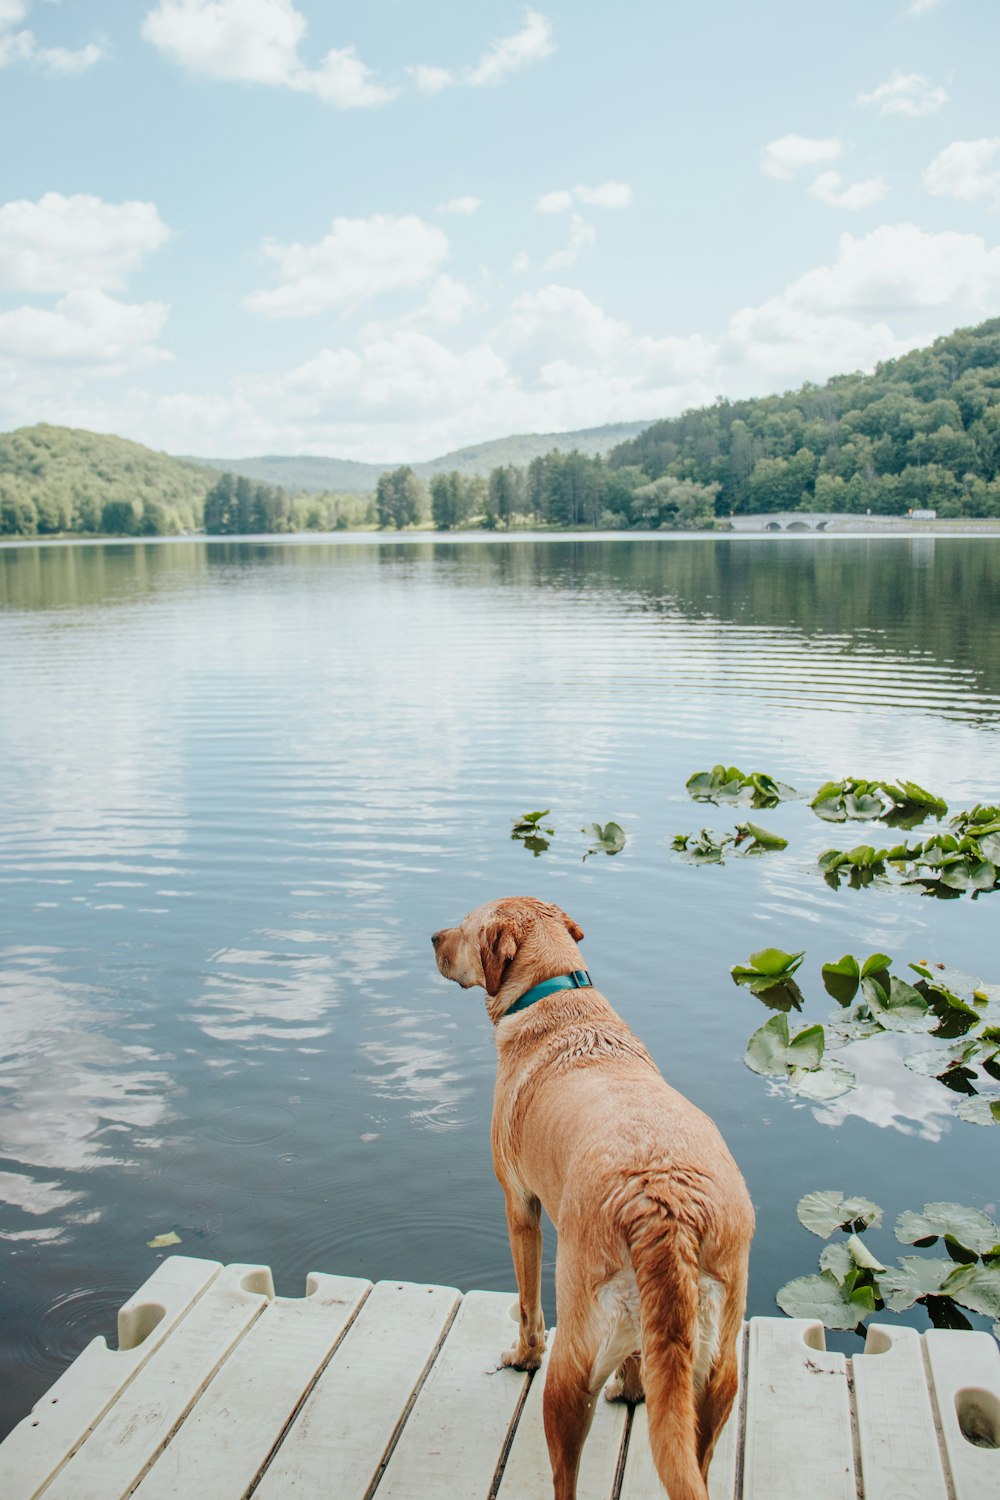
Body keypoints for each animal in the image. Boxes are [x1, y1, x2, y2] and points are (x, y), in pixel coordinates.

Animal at [431, 894, 749, 1500]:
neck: (557, 993)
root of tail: (665, 1207)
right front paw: (633, 1386)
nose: (433, 938)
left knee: (565, 1475)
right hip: (719, 1378)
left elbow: (527, 1306)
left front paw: (520, 1355)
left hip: (570, 1368)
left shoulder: (520, 1205)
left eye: (465, 925)